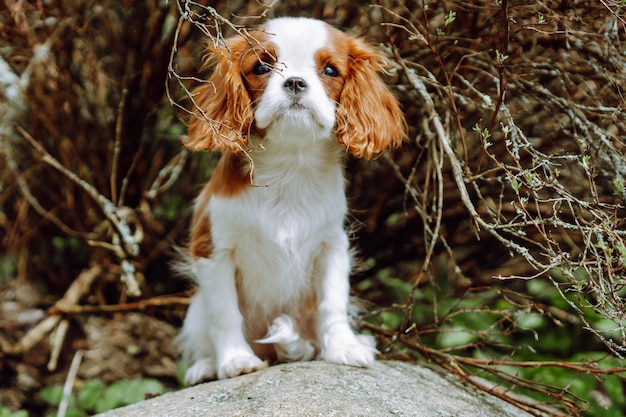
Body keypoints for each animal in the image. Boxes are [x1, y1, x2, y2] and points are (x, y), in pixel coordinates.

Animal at [177, 17, 404, 384]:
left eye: (330, 70)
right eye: (262, 67)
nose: (295, 83)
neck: (290, 166)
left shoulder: (332, 246)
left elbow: (332, 302)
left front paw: (343, 348)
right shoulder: (213, 251)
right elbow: (225, 313)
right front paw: (236, 360)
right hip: (196, 310)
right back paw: (207, 366)